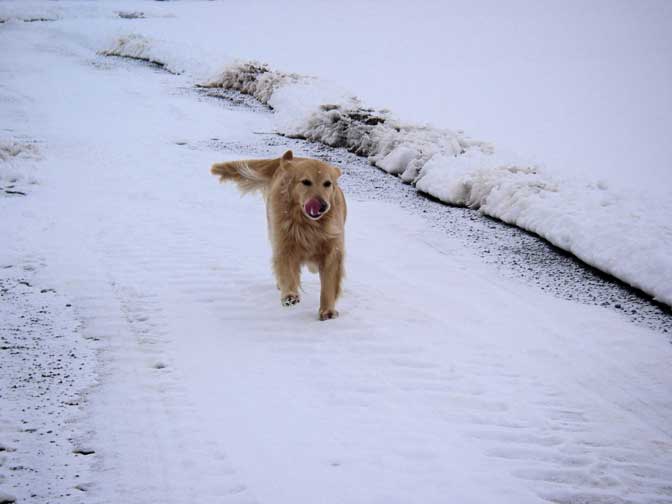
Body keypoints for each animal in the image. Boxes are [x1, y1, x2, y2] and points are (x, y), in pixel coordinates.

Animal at [210, 150, 346, 320]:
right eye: (306, 182)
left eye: (327, 183)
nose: (322, 206)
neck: (309, 225)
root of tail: (286, 161)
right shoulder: (284, 245)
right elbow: (287, 272)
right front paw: (290, 295)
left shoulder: (332, 250)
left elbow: (329, 282)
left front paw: (327, 310)